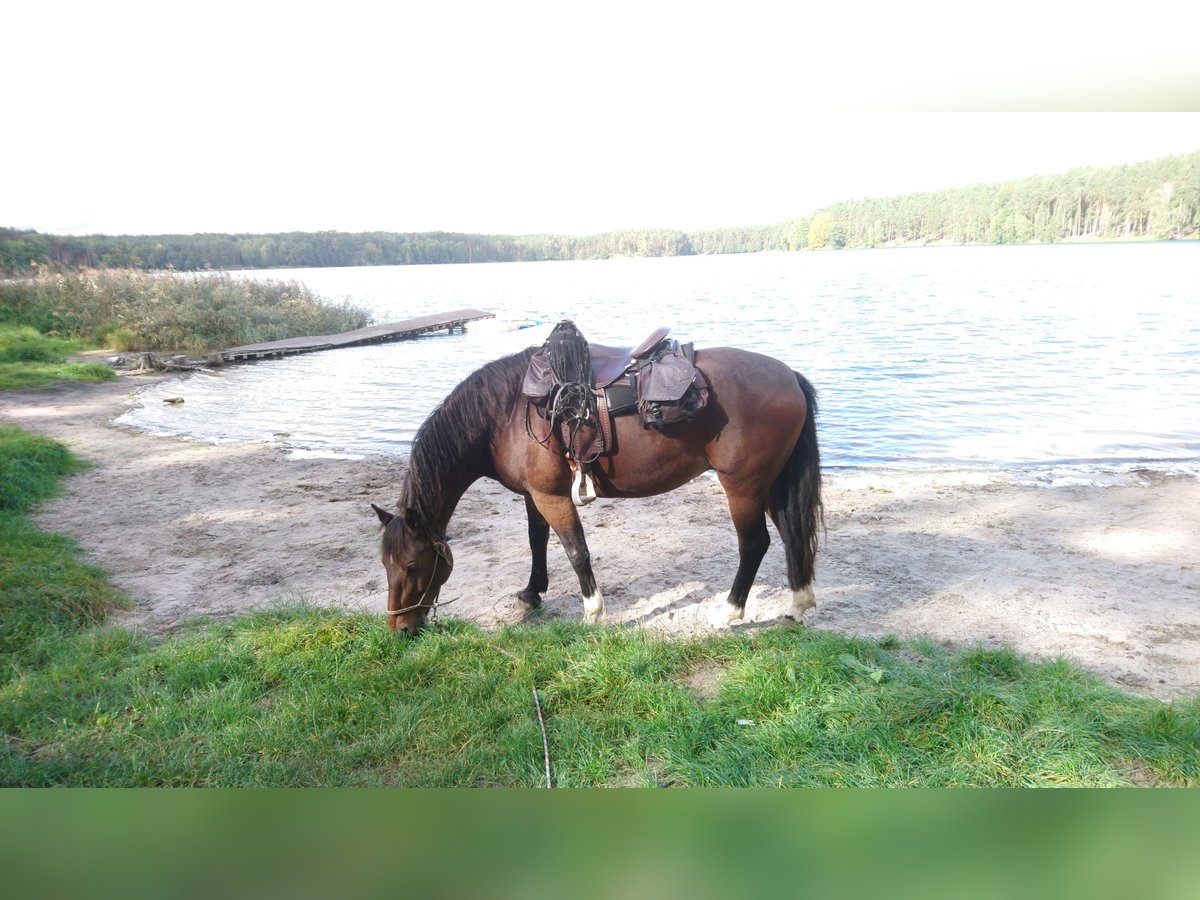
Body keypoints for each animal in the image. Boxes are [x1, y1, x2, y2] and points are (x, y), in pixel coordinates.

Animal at [372, 340, 825, 638]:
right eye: (385, 565)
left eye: (412, 566)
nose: (399, 628)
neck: (506, 412)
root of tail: (790, 377)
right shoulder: (534, 495)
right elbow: (538, 541)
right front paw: (532, 593)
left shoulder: (552, 496)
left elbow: (576, 550)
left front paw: (592, 611)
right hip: (771, 485)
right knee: (792, 536)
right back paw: (797, 606)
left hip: (743, 487)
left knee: (755, 544)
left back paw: (729, 614)